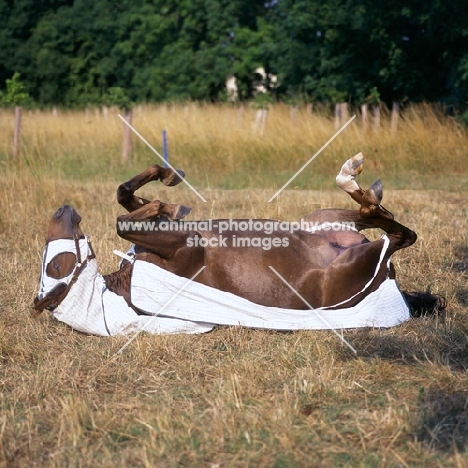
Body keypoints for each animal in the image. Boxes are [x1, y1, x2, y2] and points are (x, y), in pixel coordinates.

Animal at [33, 154, 420, 314]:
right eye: (55, 267)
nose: (61, 210)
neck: (133, 274)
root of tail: (386, 277)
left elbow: (125, 195)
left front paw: (167, 190)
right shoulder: (181, 246)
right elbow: (121, 219)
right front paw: (164, 202)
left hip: (320, 220)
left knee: (377, 217)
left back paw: (359, 184)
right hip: (360, 256)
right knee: (398, 234)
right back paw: (355, 184)